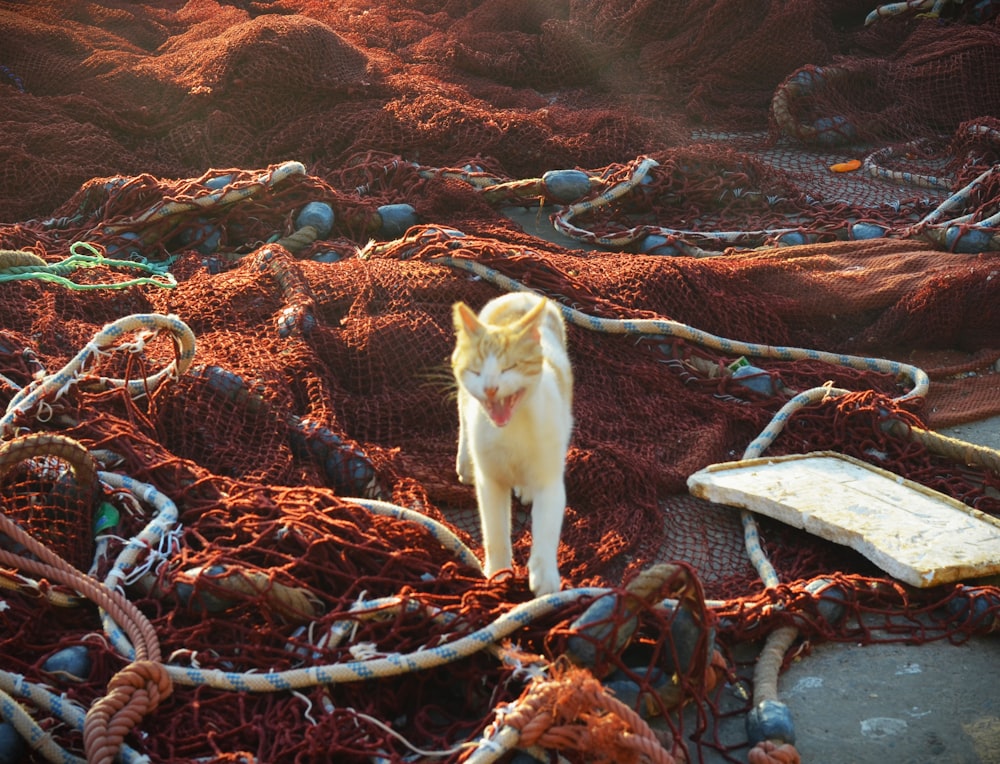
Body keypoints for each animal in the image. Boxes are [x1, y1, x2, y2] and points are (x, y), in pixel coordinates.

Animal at [452, 292, 576, 596]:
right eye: (476, 371)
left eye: (509, 367)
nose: (490, 388)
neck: (512, 430)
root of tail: (520, 294)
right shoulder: (490, 482)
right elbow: (495, 530)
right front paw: (498, 574)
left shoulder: (550, 478)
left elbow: (546, 528)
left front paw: (544, 578)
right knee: (462, 414)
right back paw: (465, 463)